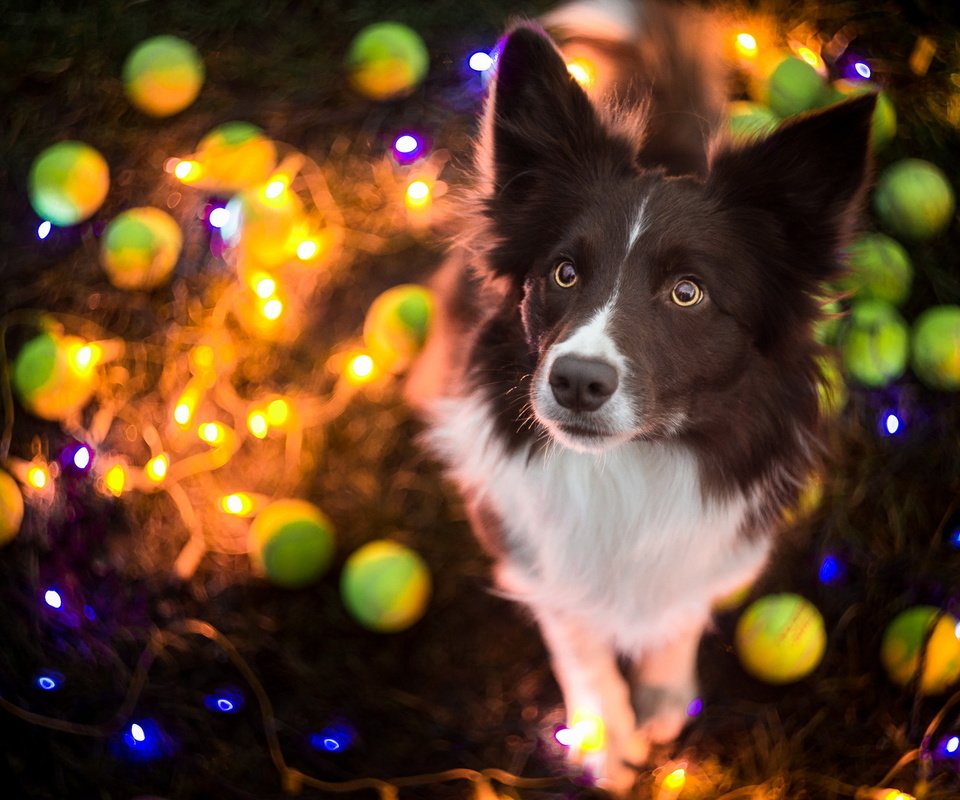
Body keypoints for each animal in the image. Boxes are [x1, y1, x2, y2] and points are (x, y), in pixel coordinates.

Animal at [408, 1, 872, 792]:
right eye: (563, 273)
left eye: (688, 292)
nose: (575, 381)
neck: (627, 469)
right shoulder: (525, 547)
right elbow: (575, 631)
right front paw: (602, 734)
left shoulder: (718, 544)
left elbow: (680, 610)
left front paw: (663, 694)